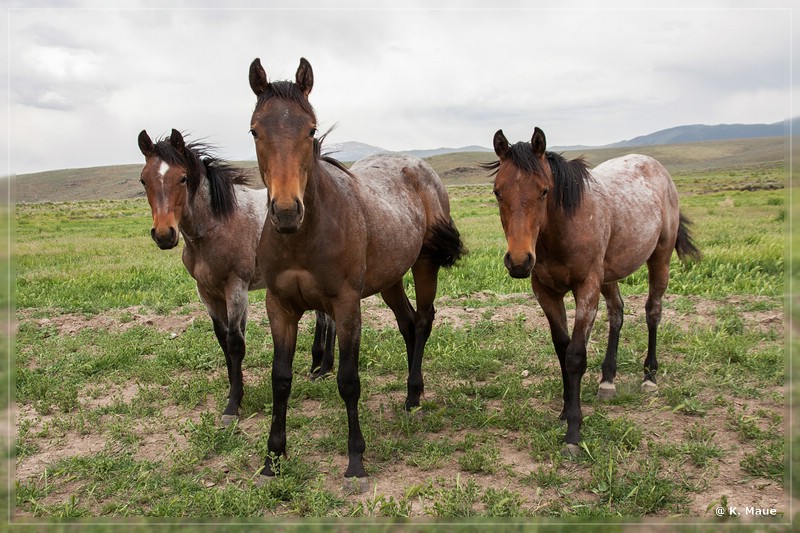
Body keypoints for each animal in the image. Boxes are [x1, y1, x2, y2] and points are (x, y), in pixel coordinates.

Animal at [138, 128, 338, 424]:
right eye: (144, 180)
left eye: (182, 178)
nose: (164, 235)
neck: (218, 226)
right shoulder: (207, 292)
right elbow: (223, 340)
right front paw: (236, 391)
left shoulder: (236, 287)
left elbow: (235, 343)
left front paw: (233, 405)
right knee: (323, 319)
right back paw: (317, 366)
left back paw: (324, 369)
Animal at [247, 57, 466, 478]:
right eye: (254, 130)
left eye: (310, 129)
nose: (286, 211)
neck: (304, 237)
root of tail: (420, 167)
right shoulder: (279, 307)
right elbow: (280, 379)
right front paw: (272, 458)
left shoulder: (346, 306)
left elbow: (348, 381)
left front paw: (355, 459)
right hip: (390, 279)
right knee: (408, 322)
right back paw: (411, 392)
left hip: (424, 264)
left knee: (424, 320)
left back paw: (414, 393)